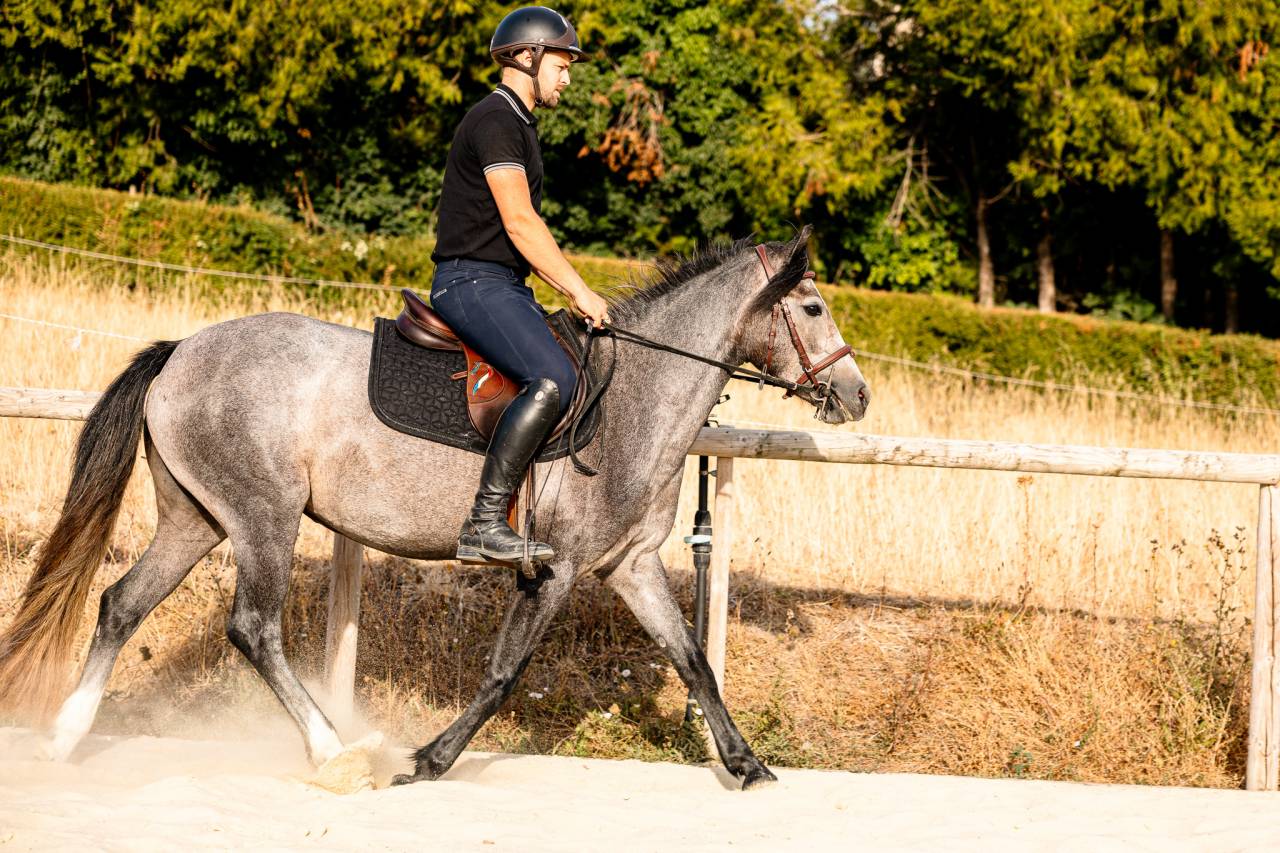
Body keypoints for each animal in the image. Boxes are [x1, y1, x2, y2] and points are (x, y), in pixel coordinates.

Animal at [0, 225, 869, 789]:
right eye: (814, 309)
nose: (857, 394)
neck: (635, 398)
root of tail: (180, 350)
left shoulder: (629, 565)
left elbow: (692, 658)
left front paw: (747, 763)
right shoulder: (553, 569)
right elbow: (503, 671)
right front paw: (430, 759)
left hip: (196, 519)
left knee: (121, 603)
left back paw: (66, 738)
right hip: (261, 518)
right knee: (252, 628)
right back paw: (335, 751)